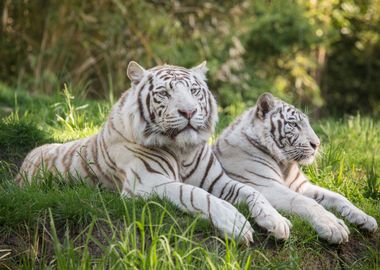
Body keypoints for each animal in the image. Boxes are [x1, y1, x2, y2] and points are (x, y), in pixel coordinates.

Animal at [17, 61, 290, 243]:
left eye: (193, 91)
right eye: (164, 93)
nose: (189, 111)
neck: (183, 151)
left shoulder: (218, 181)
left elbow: (253, 191)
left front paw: (277, 221)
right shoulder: (148, 182)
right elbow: (195, 194)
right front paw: (237, 224)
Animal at [214, 93, 378, 245]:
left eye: (307, 124)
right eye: (293, 125)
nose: (317, 144)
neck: (285, 164)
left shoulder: (301, 186)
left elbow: (338, 197)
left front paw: (365, 218)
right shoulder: (266, 185)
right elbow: (307, 202)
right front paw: (333, 226)